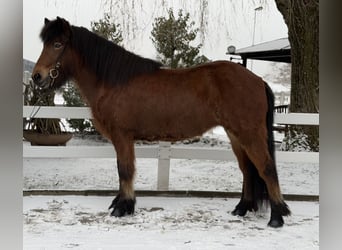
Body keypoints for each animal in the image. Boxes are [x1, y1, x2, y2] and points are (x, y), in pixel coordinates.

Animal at [32, 17, 290, 227]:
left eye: (57, 44)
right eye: (45, 43)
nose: (37, 77)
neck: (114, 81)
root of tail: (257, 80)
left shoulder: (122, 135)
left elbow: (125, 169)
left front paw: (123, 207)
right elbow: (122, 169)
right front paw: (121, 203)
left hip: (249, 134)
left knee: (266, 168)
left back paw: (277, 217)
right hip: (235, 135)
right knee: (248, 169)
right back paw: (241, 209)